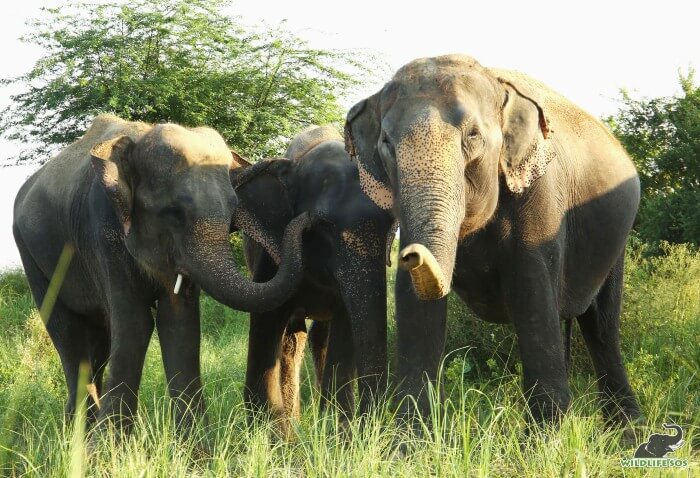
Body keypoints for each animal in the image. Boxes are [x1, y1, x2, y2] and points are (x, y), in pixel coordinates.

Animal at [12, 115, 308, 434]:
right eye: (172, 212)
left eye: (233, 212)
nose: (307, 219)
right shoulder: (103, 229)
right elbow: (134, 323)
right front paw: (110, 445)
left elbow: (178, 322)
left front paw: (194, 447)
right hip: (30, 253)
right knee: (68, 334)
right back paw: (79, 432)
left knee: (99, 340)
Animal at [228, 125, 394, 424]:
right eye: (323, 226)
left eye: (391, 224)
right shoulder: (272, 255)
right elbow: (265, 323)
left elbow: (346, 328)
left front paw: (336, 427)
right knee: (292, 341)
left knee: (316, 336)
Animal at [344, 55, 640, 426]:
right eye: (386, 144)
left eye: (473, 135)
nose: (407, 253)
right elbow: (415, 302)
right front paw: (409, 436)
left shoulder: (540, 192)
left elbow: (531, 289)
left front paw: (547, 434)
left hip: (616, 242)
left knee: (601, 325)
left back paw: (628, 429)